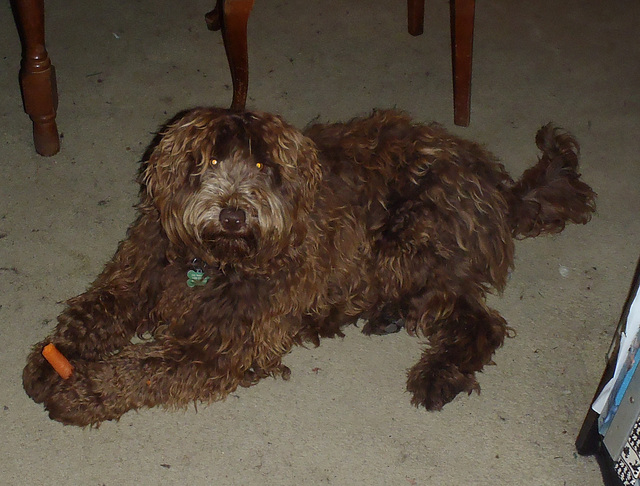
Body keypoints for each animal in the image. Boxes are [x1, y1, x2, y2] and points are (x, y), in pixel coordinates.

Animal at [22, 109, 596, 426]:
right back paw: (379, 317)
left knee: (481, 322)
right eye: (209, 162)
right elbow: (95, 310)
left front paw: (80, 392)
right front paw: (54, 360)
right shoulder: (138, 274)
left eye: (261, 166)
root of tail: (498, 187)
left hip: (409, 242)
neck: (214, 260)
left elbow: (140, 368)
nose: (233, 215)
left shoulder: (220, 344)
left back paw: (437, 374)